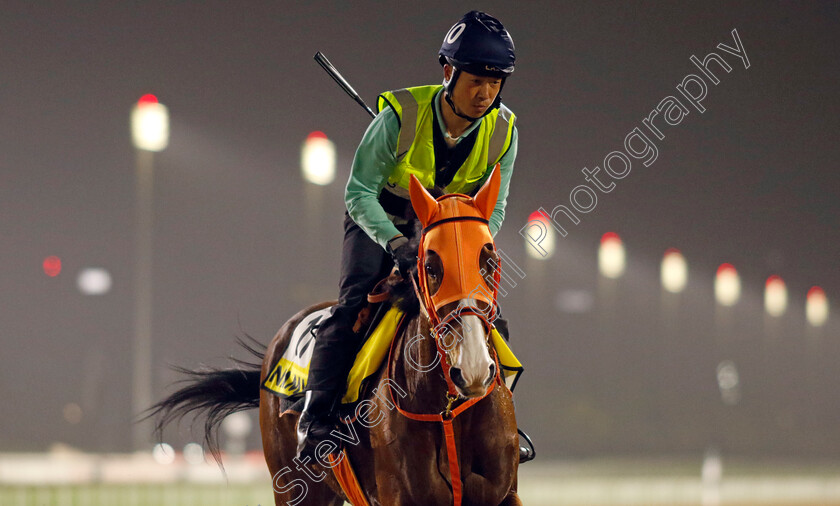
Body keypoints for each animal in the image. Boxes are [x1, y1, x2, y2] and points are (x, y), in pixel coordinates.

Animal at [148, 168, 520, 504]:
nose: (473, 369)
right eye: (431, 266)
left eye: (490, 261)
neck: (448, 414)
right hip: (294, 488)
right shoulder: (398, 495)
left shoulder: (504, 495)